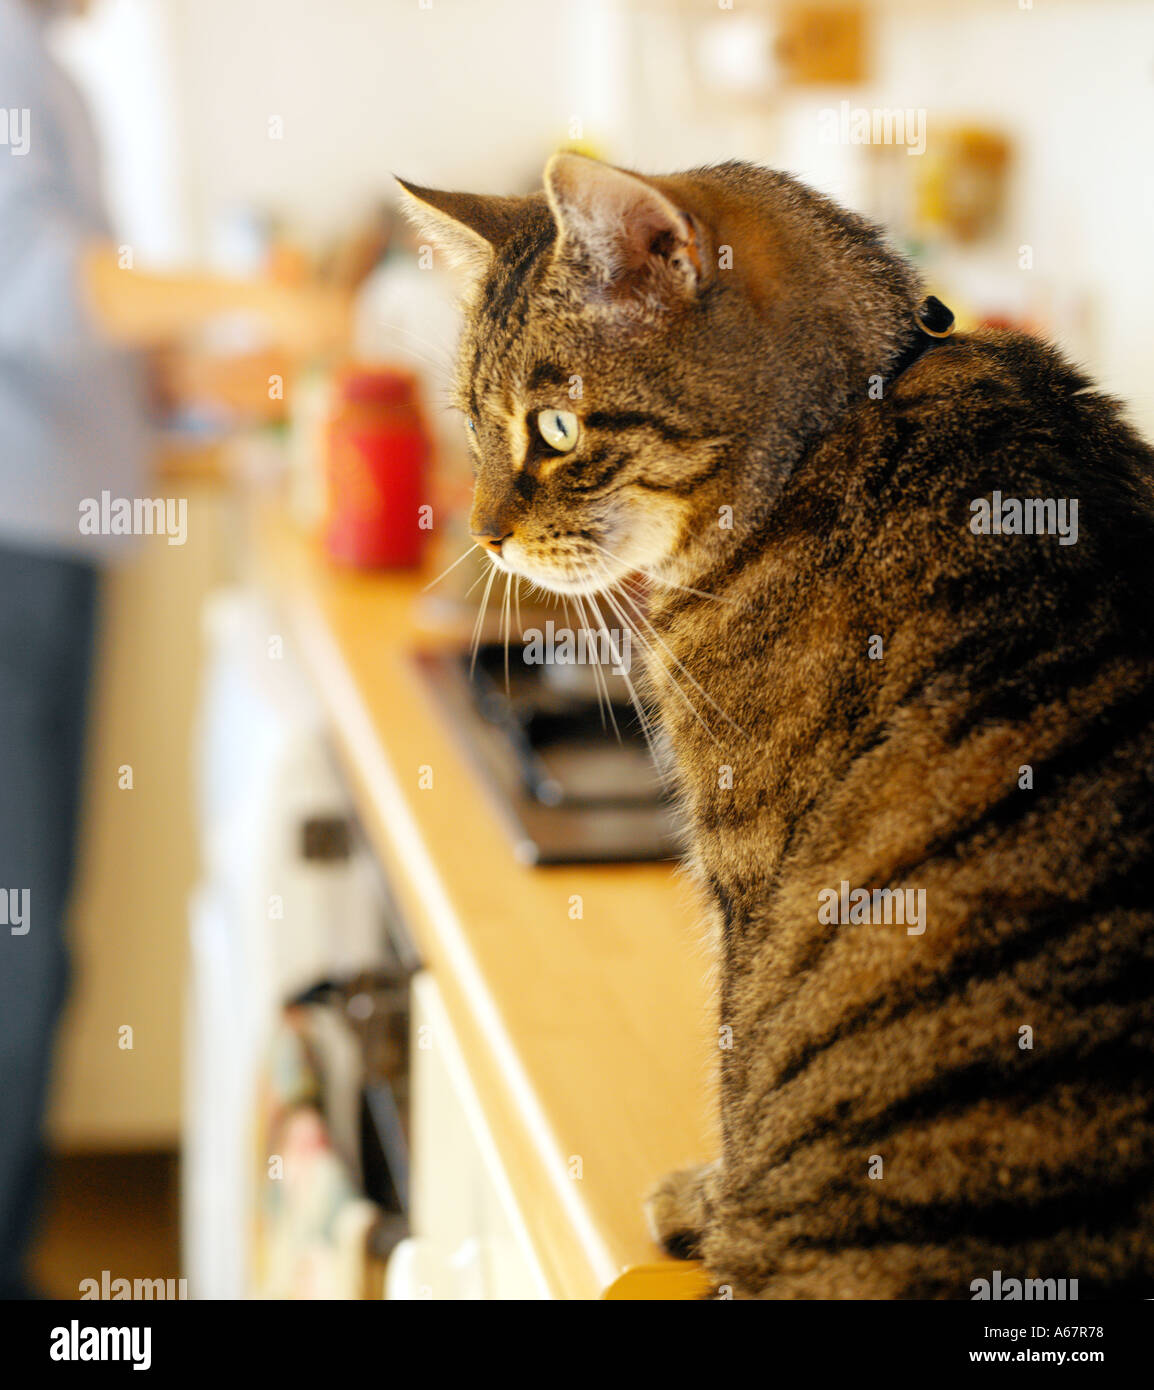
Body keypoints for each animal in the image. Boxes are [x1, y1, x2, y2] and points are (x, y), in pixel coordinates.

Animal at [400, 157, 1154, 1295]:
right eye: (473, 423)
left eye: (557, 430)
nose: (484, 534)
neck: (843, 422)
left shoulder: (745, 873)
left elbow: (735, 1062)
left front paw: (705, 1201)